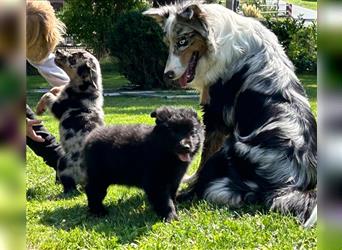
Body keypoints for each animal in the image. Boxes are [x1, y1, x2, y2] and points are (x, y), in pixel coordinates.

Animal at [35, 49, 104, 193]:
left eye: (73, 58)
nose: (57, 50)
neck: (85, 89)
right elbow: (55, 89)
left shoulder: (58, 107)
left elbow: (47, 95)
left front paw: (39, 109)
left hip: (63, 162)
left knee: (70, 185)